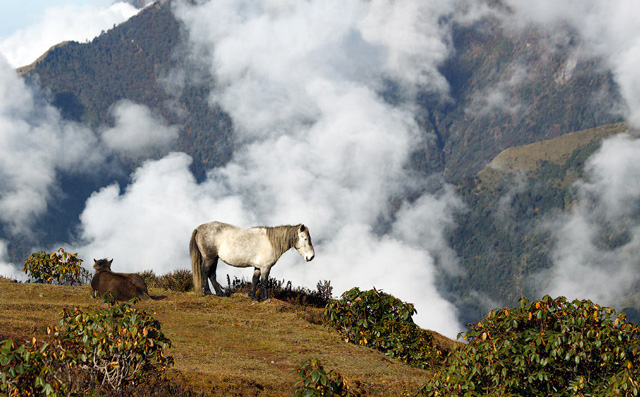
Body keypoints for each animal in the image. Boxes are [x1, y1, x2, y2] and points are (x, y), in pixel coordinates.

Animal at [188, 221, 316, 298]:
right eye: (305, 239)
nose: (311, 256)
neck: (271, 242)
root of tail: (198, 228)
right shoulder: (266, 267)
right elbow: (264, 282)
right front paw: (265, 298)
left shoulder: (258, 266)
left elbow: (255, 280)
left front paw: (252, 296)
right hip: (209, 257)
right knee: (205, 272)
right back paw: (208, 292)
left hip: (214, 258)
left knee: (212, 274)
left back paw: (220, 293)